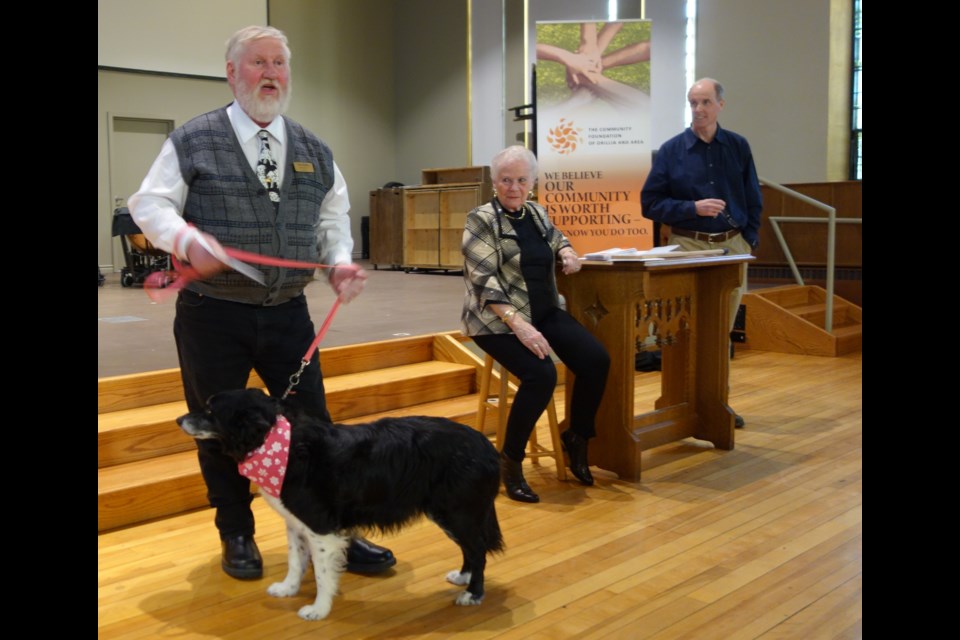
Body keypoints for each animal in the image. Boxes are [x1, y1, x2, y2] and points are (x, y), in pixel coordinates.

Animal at [176, 388, 502, 624]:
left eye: (211, 411)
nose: (179, 420)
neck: (277, 443)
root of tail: (486, 445)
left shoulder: (320, 528)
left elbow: (322, 573)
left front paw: (318, 610)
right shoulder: (296, 523)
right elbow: (295, 561)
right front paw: (288, 589)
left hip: (458, 512)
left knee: (478, 551)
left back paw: (473, 594)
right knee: (471, 549)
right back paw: (464, 577)